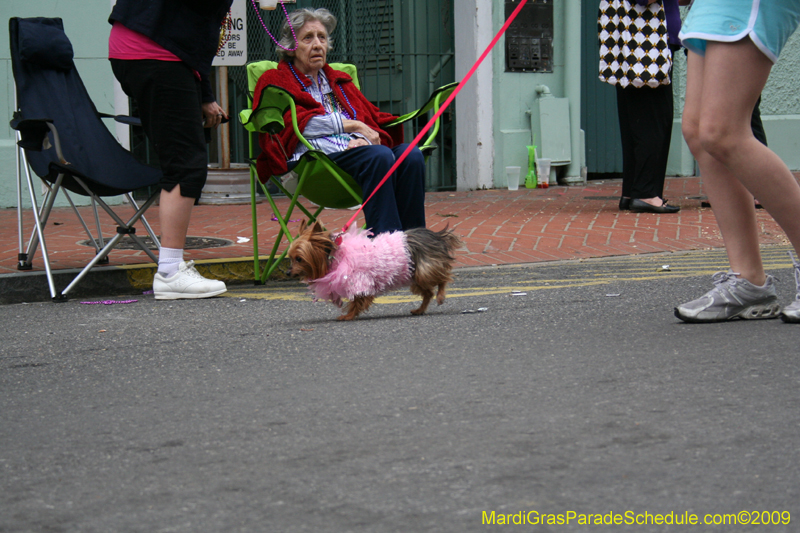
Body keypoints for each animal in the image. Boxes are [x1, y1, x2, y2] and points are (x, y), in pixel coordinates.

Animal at [288, 219, 462, 320]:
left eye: (299, 259)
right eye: (289, 257)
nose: (288, 272)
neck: (332, 257)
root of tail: (436, 236)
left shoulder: (359, 282)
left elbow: (357, 302)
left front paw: (348, 316)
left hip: (424, 271)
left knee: (443, 279)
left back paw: (441, 296)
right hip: (415, 276)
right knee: (428, 293)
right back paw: (420, 310)